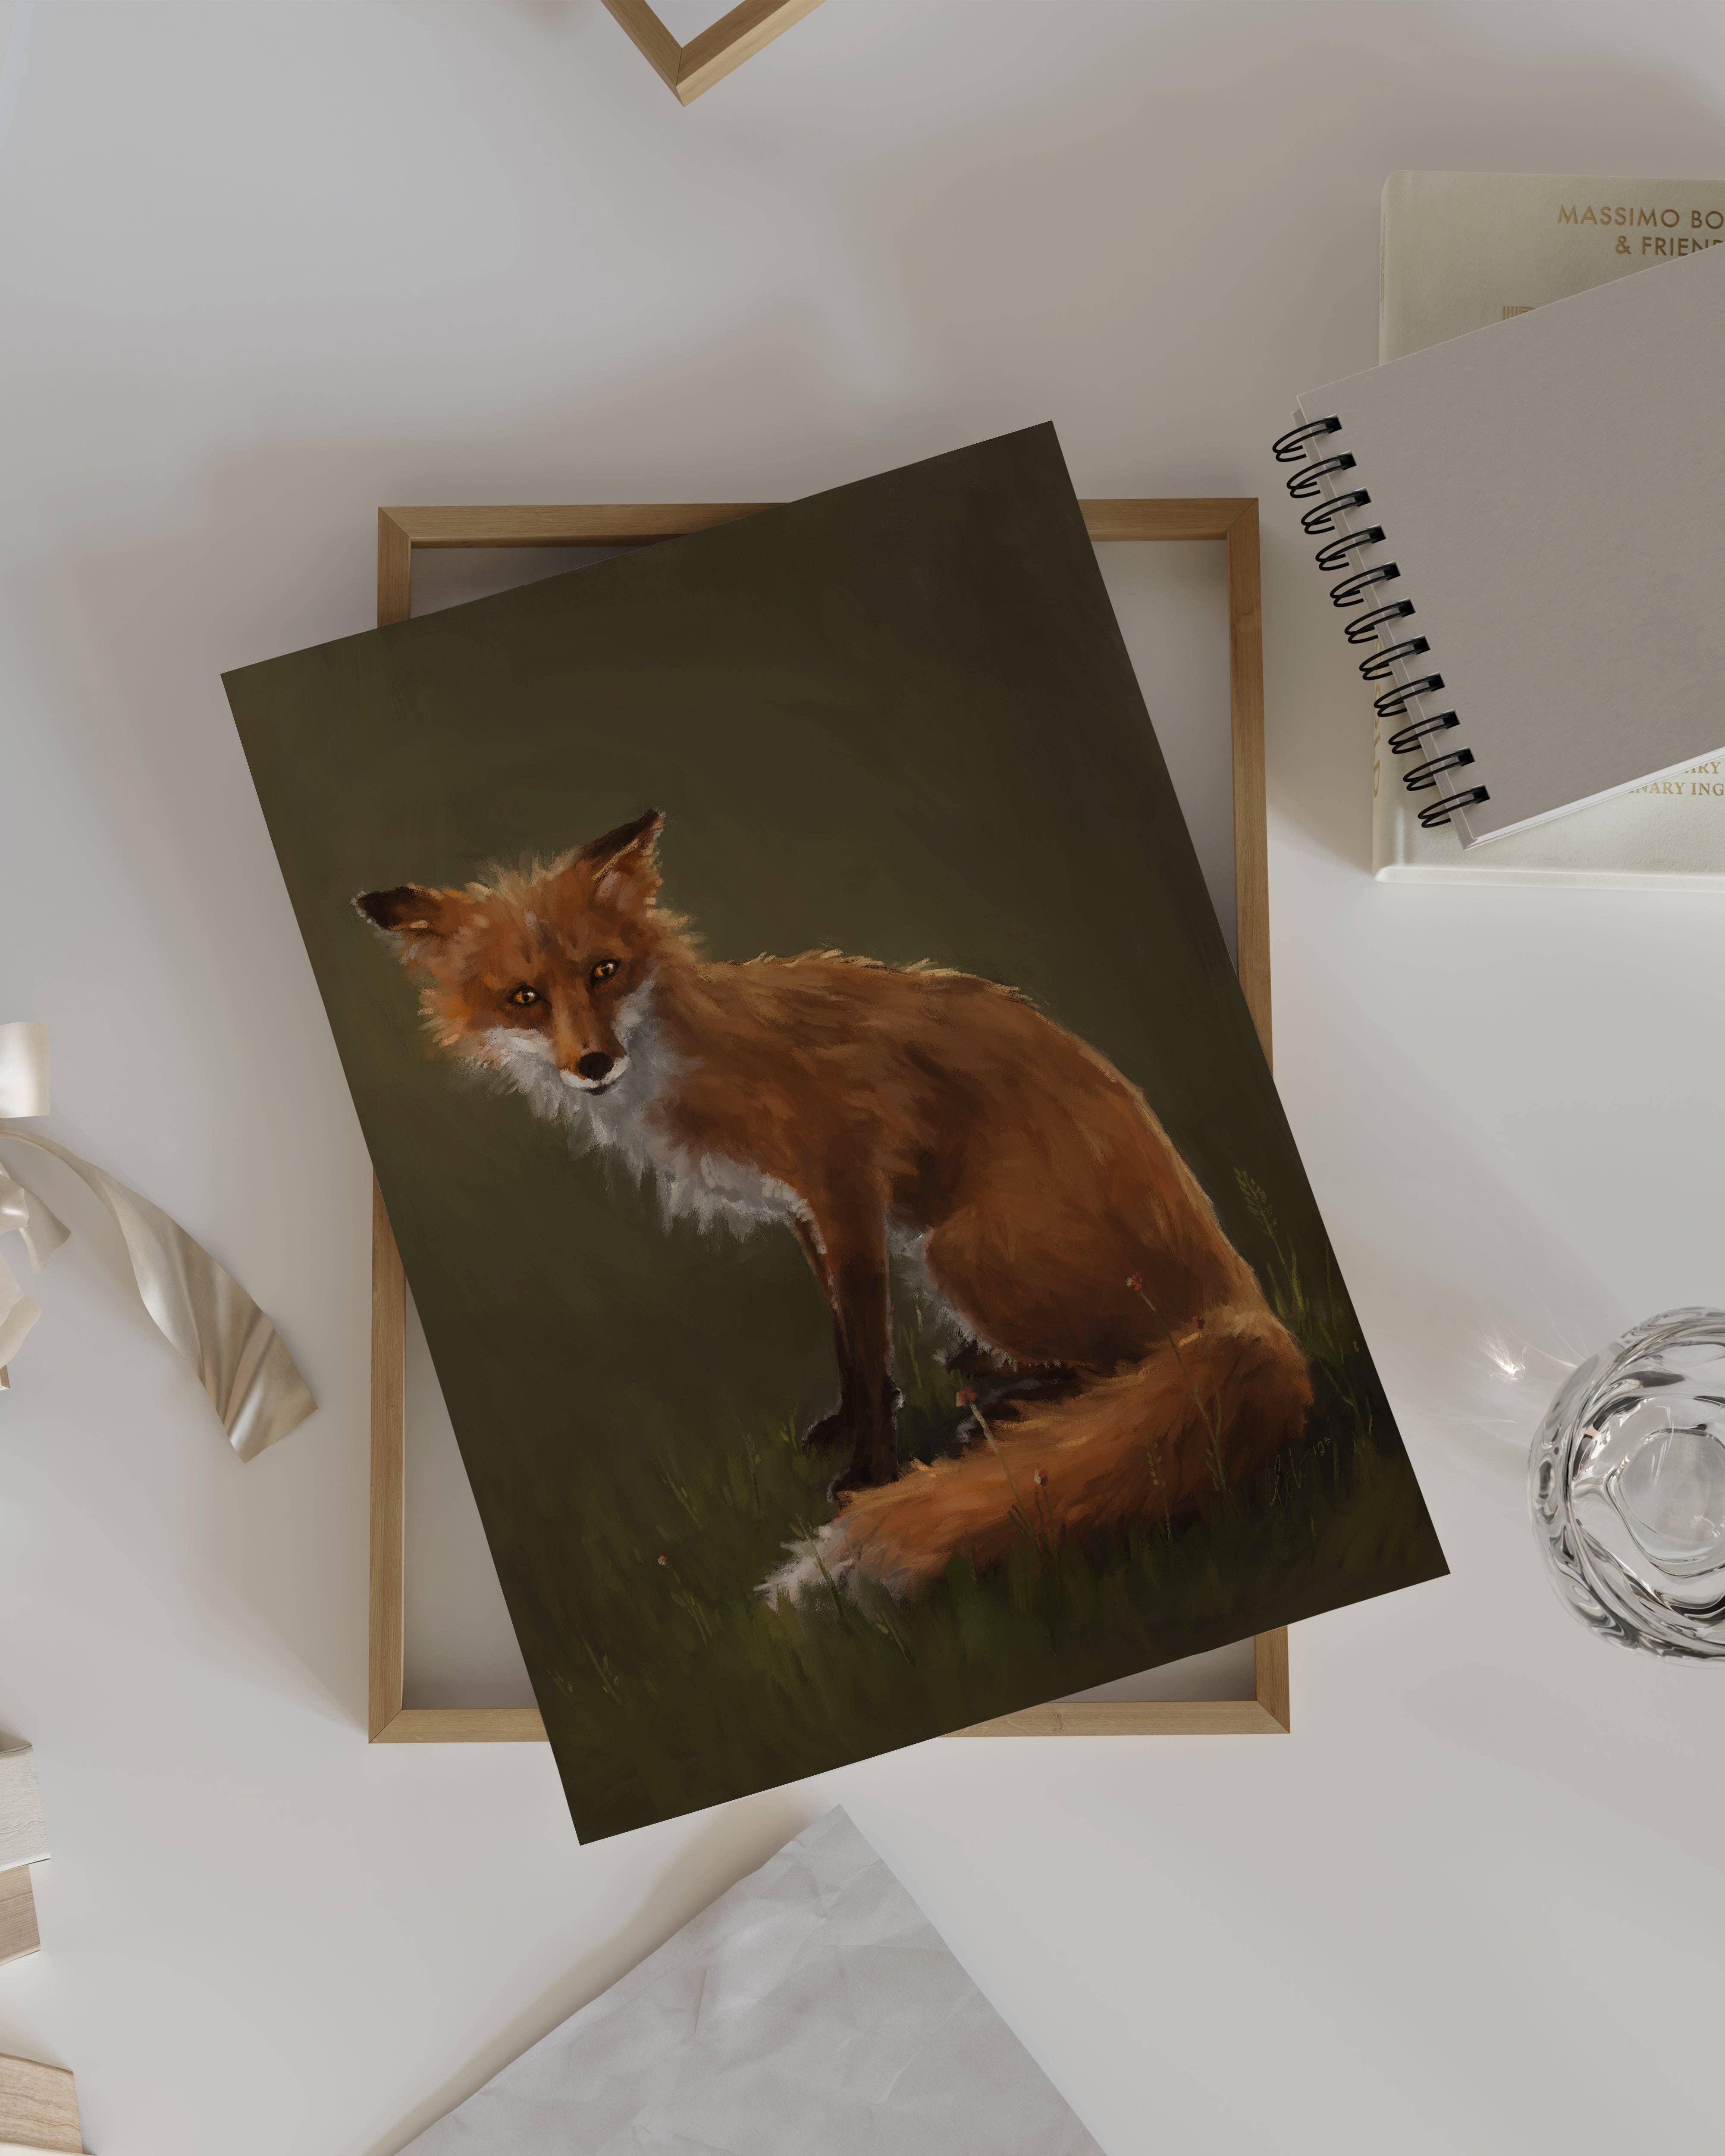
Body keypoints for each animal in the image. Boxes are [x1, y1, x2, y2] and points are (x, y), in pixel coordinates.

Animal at [356, 809, 1311, 1602]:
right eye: (524, 998)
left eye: (605, 971)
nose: (593, 1063)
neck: (695, 1059)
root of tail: (1245, 1299)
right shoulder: (805, 1214)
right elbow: (851, 1346)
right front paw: (852, 1423)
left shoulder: (848, 1187)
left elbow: (866, 1334)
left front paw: (871, 1474)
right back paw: (997, 1377)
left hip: (958, 1252)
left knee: (1139, 1360)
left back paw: (1018, 1405)